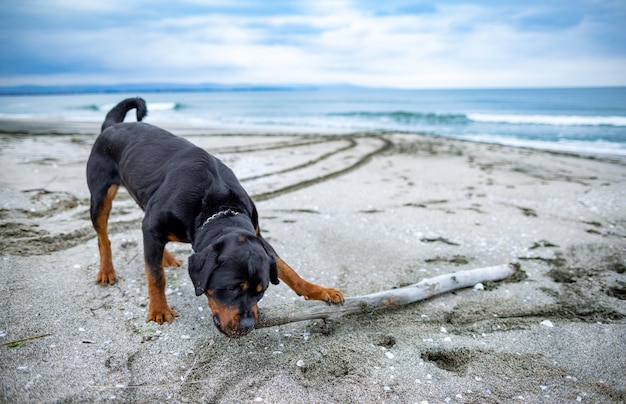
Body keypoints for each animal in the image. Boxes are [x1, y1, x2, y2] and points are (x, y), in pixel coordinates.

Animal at [86, 98, 344, 338]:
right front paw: (159, 308)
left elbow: (287, 269)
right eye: (230, 289)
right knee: (103, 236)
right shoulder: (152, 226)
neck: (219, 207)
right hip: (100, 196)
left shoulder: (257, 236)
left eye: (260, 291)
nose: (248, 326)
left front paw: (319, 290)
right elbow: (156, 276)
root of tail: (111, 126)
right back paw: (107, 270)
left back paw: (165, 257)